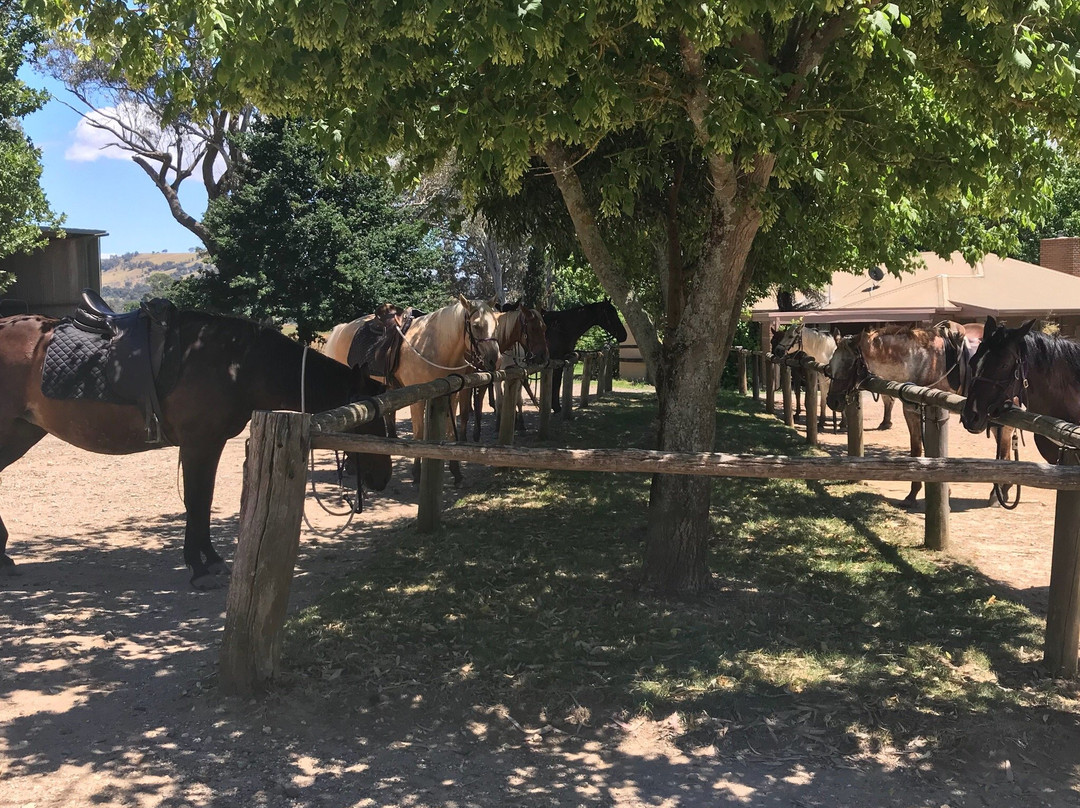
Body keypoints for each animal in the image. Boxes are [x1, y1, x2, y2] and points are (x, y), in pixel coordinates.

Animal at [0, 307, 392, 589]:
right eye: (367, 421)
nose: (383, 479)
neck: (237, 364)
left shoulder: (210, 443)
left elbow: (202, 500)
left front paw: (210, 560)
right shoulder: (198, 443)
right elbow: (198, 500)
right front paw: (199, 567)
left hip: (21, 432)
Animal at [323, 295, 501, 482]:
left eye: (496, 324)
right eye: (476, 326)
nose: (493, 359)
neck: (435, 345)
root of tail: (342, 328)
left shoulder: (452, 394)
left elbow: (451, 431)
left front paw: (456, 471)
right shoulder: (418, 397)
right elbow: (419, 433)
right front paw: (417, 473)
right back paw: (351, 466)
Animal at [826, 322, 1014, 506]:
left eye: (850, 364)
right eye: (831, 363)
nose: (832, 401)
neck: (920, 360)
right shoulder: (911, 411)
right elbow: (916, 449)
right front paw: (912, 494)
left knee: (1004, 446)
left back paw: (997, 494)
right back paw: (1005, 489)